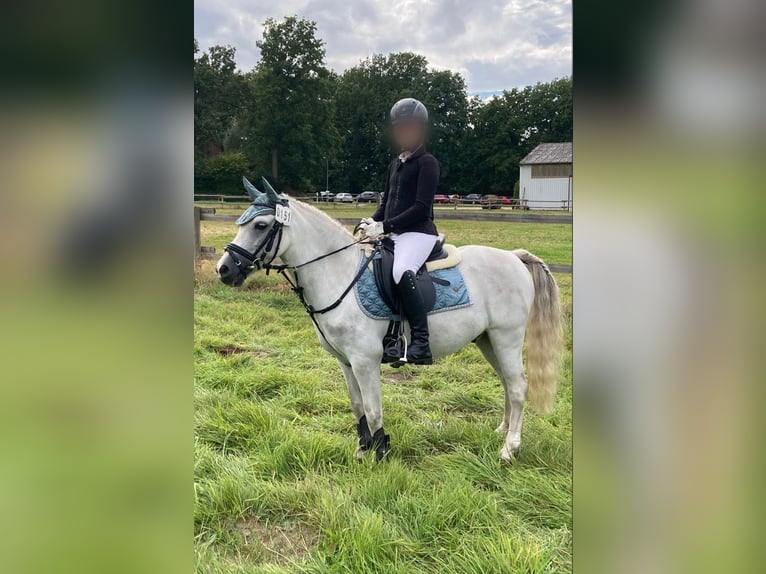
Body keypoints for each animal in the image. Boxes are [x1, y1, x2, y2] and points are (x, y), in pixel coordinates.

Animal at [216, 178, 563, 462]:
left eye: (261, 225)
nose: (224, 269)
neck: (340, 273)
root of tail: (514, 257)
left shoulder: (365, 361)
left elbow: (372, 409)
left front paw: (380, 454)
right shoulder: (345, 362)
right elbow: (357, 407)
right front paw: (362, 450)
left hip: (507, 337)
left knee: (518, 387)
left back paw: (509, 448)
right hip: (488, 340)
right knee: (507, 382)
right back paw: (501, 430)